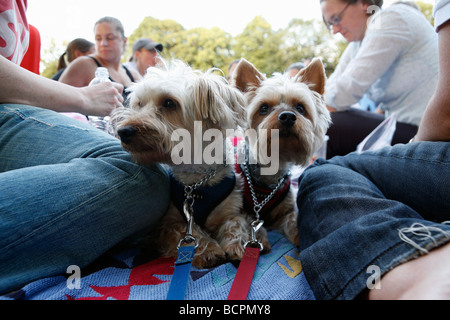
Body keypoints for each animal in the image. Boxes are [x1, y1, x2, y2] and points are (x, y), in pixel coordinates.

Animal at [111, 59, 250, 268]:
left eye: (169, 103)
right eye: (139, 104)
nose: (123, 131)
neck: (197, 181)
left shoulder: (232, 210)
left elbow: (236, 224)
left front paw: (236, 245)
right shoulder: (165, 225)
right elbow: (188, 231)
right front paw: (208, 250)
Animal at [232, 57, 330, 248]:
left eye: (300, 107)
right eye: (263, 108)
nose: (287, 116)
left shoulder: (286, 208)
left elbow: (292, 218)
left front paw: (300, 235)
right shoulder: (243, 207)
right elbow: (250, 221)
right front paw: (259, 237)